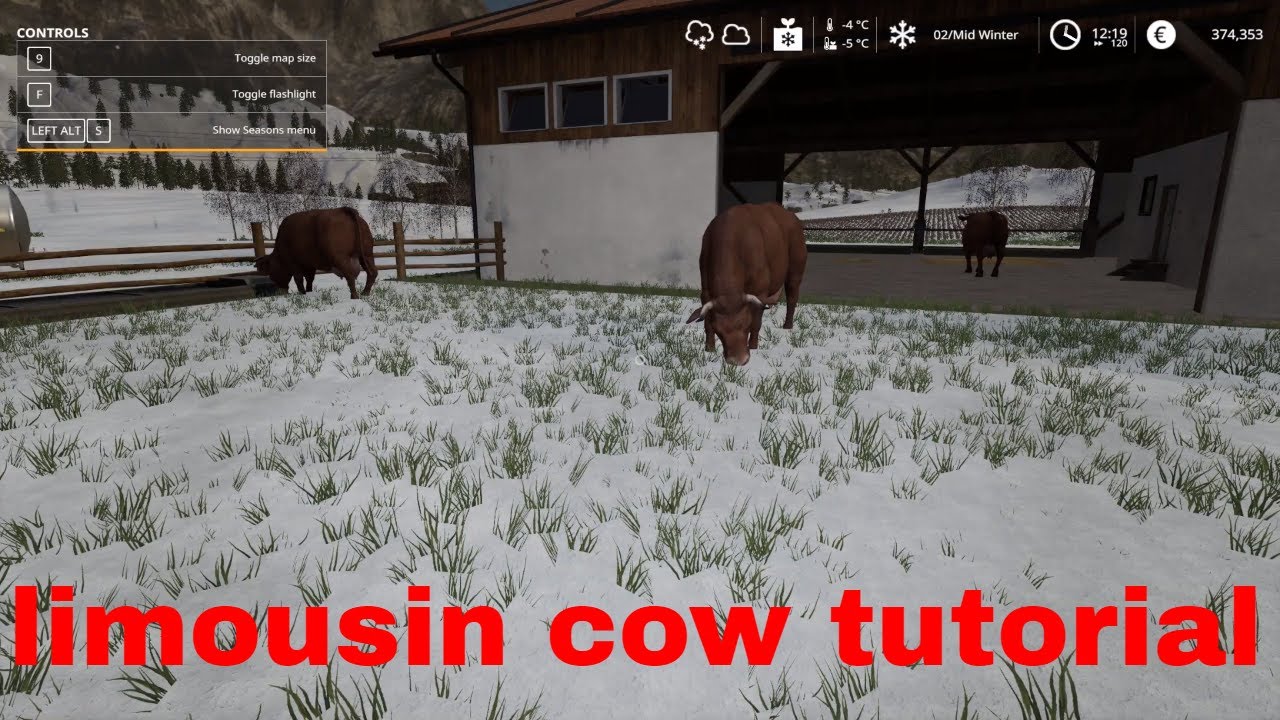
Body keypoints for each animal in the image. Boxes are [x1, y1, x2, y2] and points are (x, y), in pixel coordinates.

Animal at [685, 202, 808, 366]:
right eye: (719, 330)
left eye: (745, 325)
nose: (739, 360)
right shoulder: (705, 291)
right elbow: (707, 322)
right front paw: (709, 348)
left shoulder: (760, 291)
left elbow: (757, 321)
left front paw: (754, 347)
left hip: (795, 270)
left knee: (792, 297)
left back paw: (787, 326)